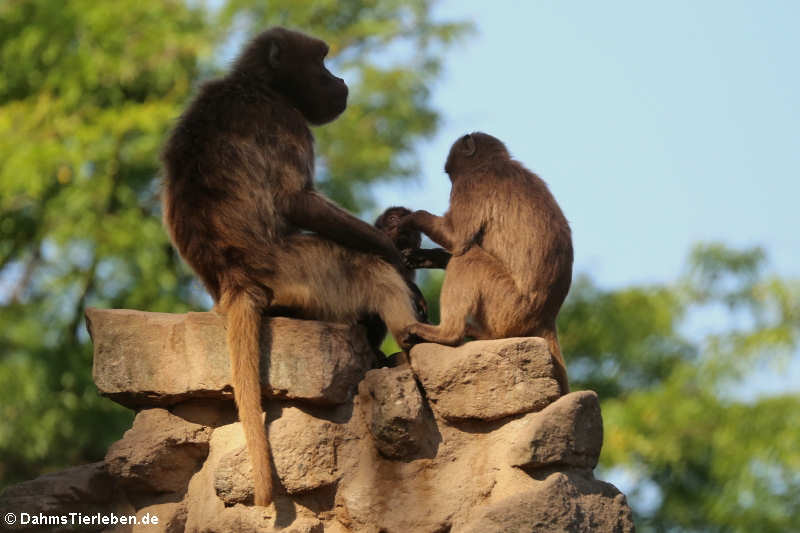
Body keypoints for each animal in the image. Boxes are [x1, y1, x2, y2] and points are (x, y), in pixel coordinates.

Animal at [162, 27, 424, 504]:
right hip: (305, 273)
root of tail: (235, 280)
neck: (260, 84)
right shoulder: (286, 118)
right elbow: (296, 200)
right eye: (321, 61)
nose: (339, 80)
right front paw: (394, 251)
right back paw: (408, 344)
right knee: (371, 272)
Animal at [400, 131, 576, 392]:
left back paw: (446, 333)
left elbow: (458, 240)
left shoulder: (470, 186)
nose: (450, 184)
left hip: (506, 306)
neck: (494, 162)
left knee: (469, 259)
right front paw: (426, 256)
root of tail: (547, 317)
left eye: (451, 175)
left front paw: (412, 218)